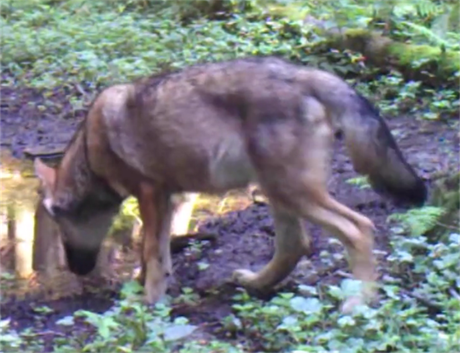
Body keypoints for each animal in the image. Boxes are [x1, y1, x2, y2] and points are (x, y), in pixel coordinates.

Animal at [33, 56, 428, 312]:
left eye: (60, 228)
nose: (75, 270)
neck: (90, 146)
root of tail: (306, 74)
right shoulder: (170, 198)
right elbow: (157, 251)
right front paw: (143, 286)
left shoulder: (150, 194)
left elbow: (152, 253)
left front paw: (147, 302)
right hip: (276, 190)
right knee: (294, 245)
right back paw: (255, 283)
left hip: (294, 193)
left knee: (359, 228)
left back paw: (360, 301)